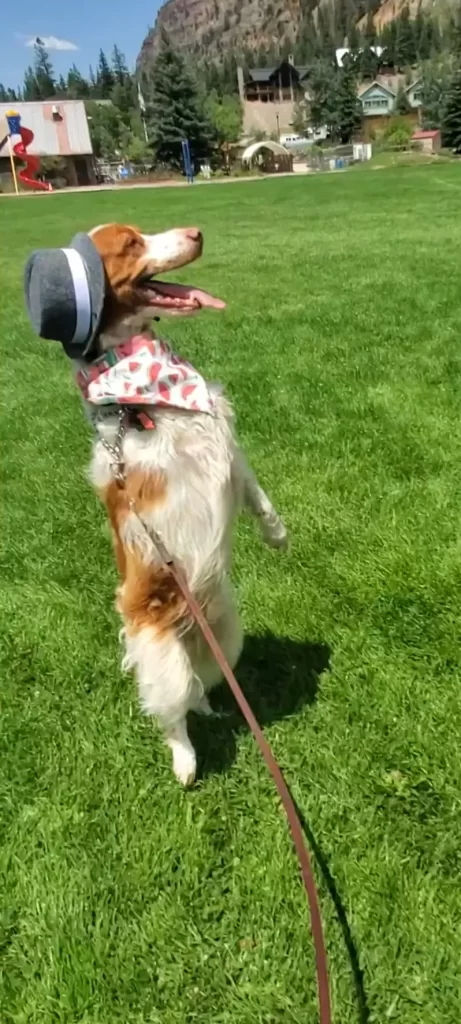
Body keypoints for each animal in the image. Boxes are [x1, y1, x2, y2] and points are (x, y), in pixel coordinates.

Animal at [80, 226, 286, 782]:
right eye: (131, 242)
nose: (196, 232)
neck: (153, 390)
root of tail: (186, 622)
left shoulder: (225, 444)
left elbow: (255, 490)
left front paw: (276, 532)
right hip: (160, 654)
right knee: (173, 712)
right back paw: (185, 764)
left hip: (226, 636)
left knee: (201, 685)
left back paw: (211, 706)